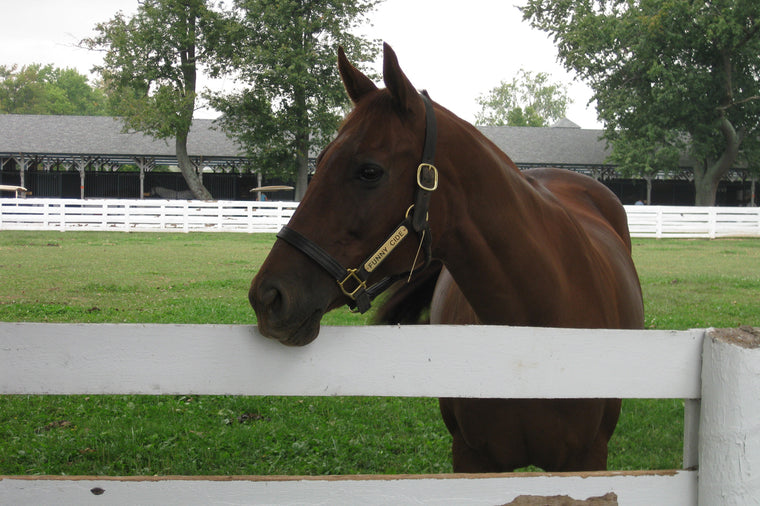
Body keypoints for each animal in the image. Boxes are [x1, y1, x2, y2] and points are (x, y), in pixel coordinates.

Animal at [249, 44, 640, 474]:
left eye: (369, 171)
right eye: (319, 161)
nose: (268, 296)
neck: (531, 345)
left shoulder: (586, 461)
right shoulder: (472, 458)